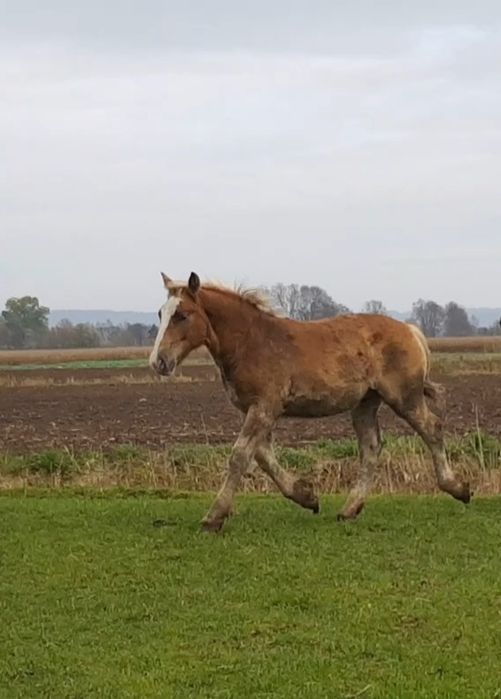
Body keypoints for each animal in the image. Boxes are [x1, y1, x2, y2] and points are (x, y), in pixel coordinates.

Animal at [148, 272, 468, 532]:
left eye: (182, 315)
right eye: (161, 314)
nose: (158, 362)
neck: (251, 342)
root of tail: (410, 330)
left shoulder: (264, 408)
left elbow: (240, 456)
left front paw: (213, 517)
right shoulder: (254, 410)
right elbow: (263, 457)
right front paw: (308, 497)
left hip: (405, 397)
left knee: (432, 429)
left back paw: (459, 489)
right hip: (365, 403)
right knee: (372, 446)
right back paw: (349, 509)